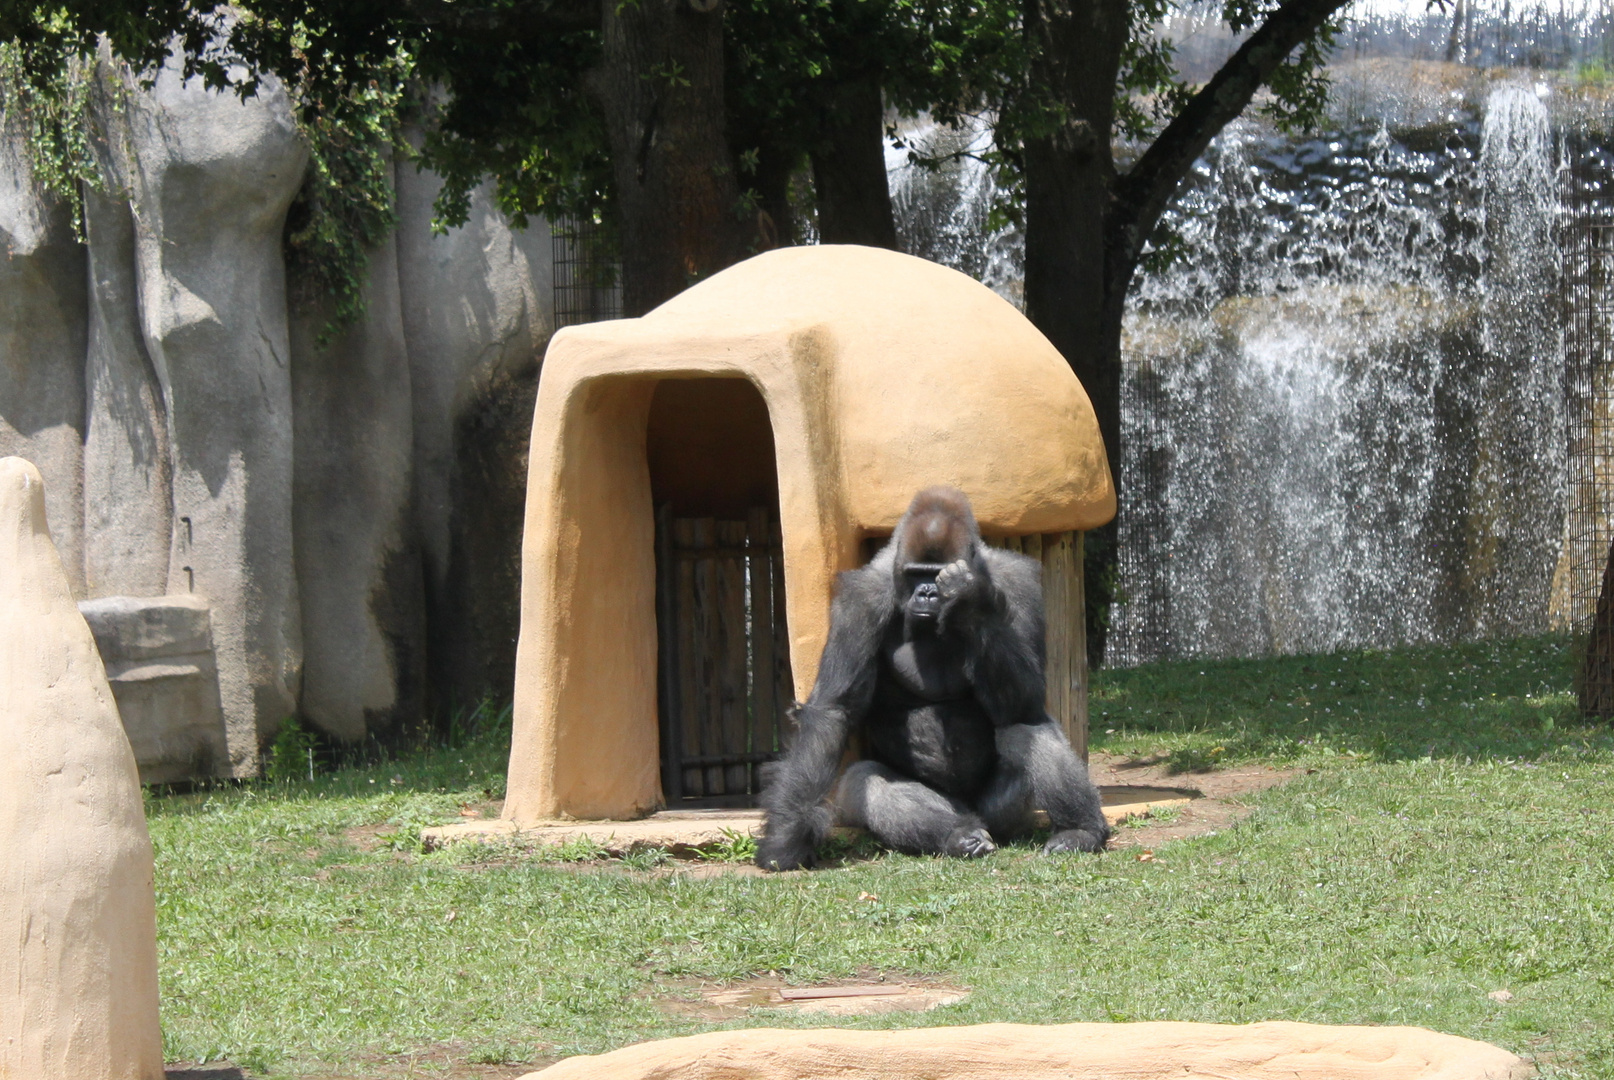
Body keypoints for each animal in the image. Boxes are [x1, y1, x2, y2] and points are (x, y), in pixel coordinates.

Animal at [755, 484, 1110, 871]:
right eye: (915, 573)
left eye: (934, 573)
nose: (927, 593)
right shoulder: (861, 599)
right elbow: (835, 710)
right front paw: (787, 836)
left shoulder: (1017, 581)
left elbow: (1026, 701)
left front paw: (970, 601)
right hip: (955, 811)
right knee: (867, 779)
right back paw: (957, 836)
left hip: (1001, 815)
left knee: (1025, 730)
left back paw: (1079, 830)